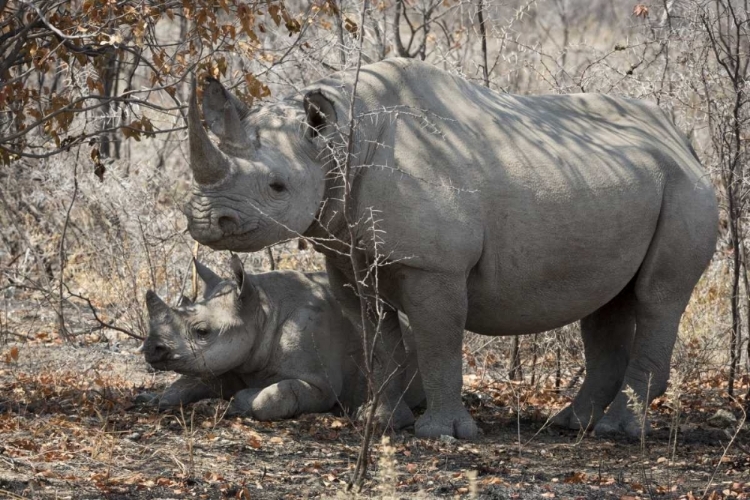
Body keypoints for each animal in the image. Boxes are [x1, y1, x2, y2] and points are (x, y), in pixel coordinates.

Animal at [141, 256, 424, 420]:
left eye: (202, 332)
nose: (150, 349)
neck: (262, 309)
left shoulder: (320, 384)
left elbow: (270, 397)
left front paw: (237, 403)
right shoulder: (235, 361)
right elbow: (193, 380)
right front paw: (154, 400)